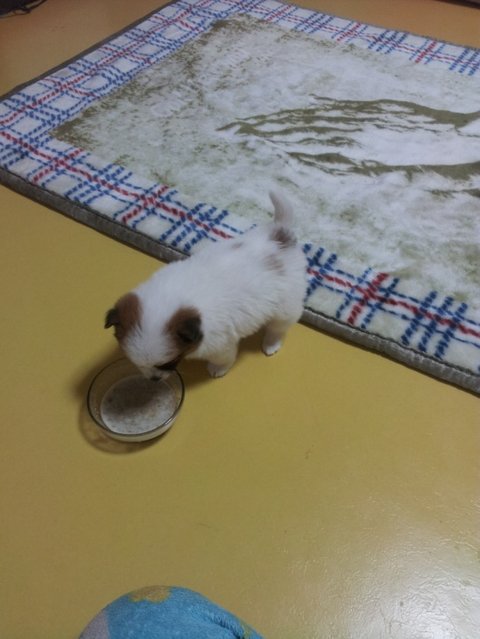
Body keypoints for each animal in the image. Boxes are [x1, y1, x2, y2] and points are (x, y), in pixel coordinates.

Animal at [105, 192, 307, 380]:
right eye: (137, 364)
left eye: (168, 363)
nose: (154, 379)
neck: (173, 297)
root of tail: (280, 234)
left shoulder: (220, 344)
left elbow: (223, 358)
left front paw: (217, 369)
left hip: (286, 305)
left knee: (278, 327)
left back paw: (271, 344)